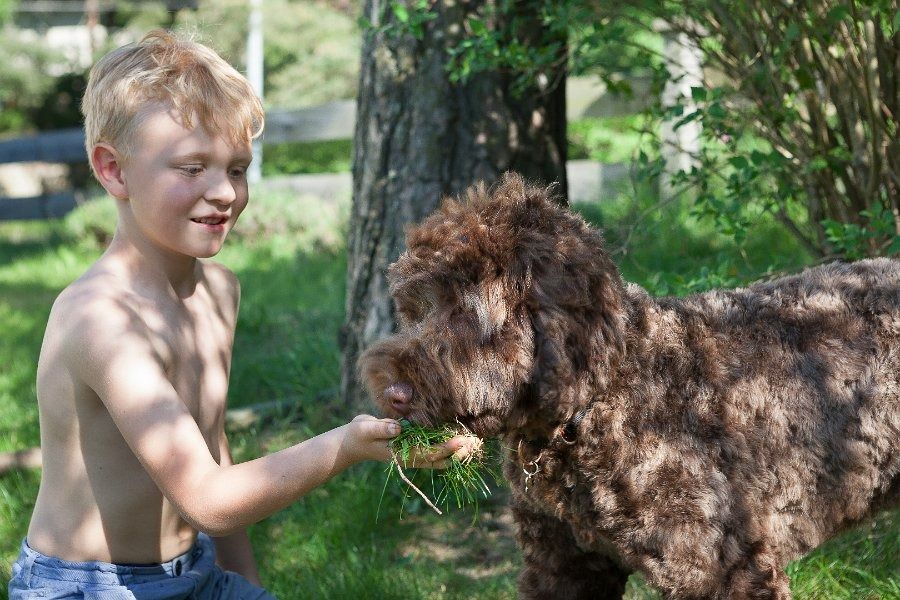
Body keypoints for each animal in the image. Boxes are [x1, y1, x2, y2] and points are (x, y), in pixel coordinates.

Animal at [358, 171, 900, 596]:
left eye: (466, 313)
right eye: (416, 309)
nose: (392, 392)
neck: (601, 402)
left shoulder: (725, 569)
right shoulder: (563, 563)